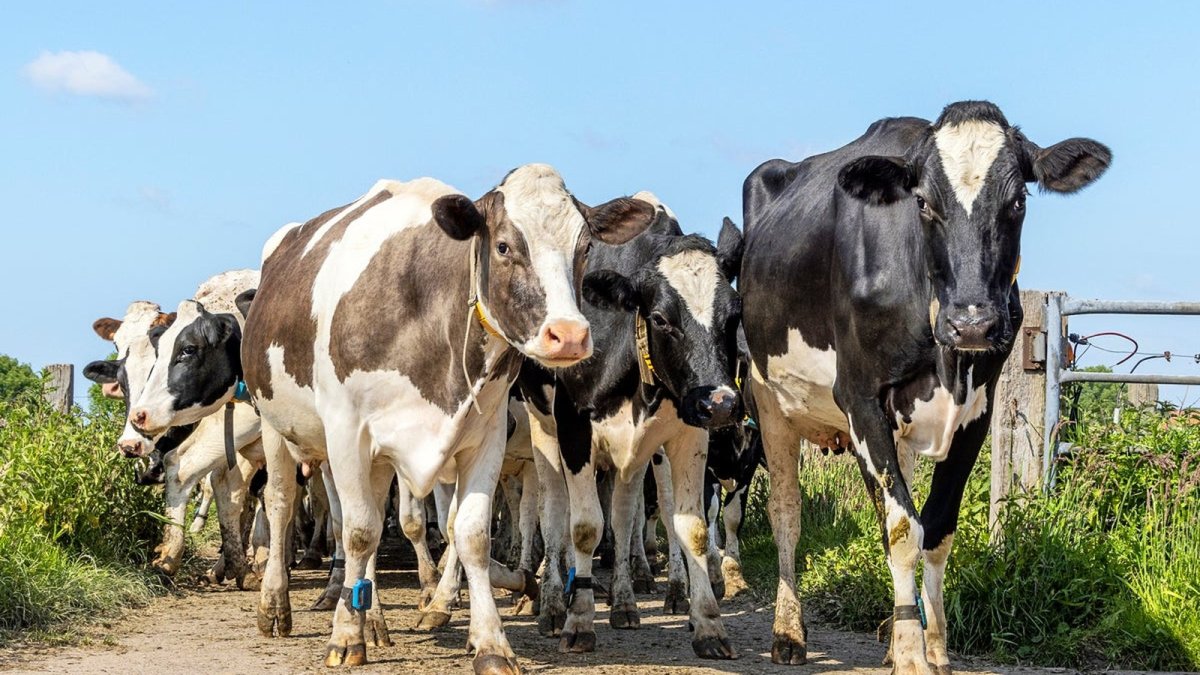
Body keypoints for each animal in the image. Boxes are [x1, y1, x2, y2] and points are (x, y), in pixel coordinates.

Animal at [236, 165, 654, 674]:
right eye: (503, 246)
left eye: (585, 247)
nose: (569, 335)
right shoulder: (347, 432)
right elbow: (357, 532)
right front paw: (344, 637)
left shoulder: (485, 436)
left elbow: (470, 535)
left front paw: (491, 642)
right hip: (275, 425)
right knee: (280, 505)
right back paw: (276, 606)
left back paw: (373, 620)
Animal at [518, 195, 744, 659]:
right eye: (659, 318)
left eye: (734, 314)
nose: (721, 403)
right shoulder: (574, 429)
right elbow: (584, 527)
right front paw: (578, 620)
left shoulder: (687, 434)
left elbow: (691, 528)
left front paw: (709, 626)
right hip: (542, 431)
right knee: (552, 512)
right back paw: (551, 605)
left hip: (637, 456)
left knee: (623, 516)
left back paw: (624, 601)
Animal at [739, 100, 1110, 672]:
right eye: (924, 203)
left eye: (1019, 201)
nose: (973, 323)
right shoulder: (861, 401)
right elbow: (899, 530)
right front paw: (911, 653)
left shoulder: (978, 410)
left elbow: (934, 529)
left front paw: (931, 647)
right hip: (768, 400)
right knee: (786, 513)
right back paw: (788, 632)